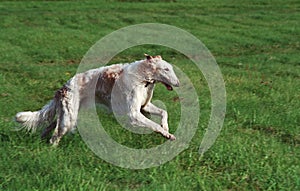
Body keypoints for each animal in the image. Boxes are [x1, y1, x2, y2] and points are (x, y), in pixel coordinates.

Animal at [15, 54, 179, 145]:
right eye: (166, 69)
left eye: (171, 68)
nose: (178, 83)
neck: (143, 79)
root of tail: (63, 87)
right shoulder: (133, 114)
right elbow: (154, 125)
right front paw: (167, 135)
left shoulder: (144, 106)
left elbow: (163, 112)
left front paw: (166, 128)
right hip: (69, 119)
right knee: (54, 137)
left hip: (67, 115)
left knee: (49, 127)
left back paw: (41, 141)